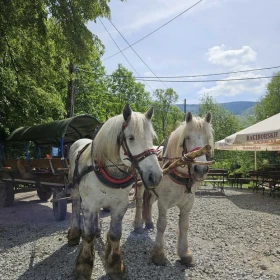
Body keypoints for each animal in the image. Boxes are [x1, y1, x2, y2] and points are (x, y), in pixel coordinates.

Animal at [68, 104, 163, 280]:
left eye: (152, 137)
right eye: (131, 138)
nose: (156, 176)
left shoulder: (120, 205)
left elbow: (115, 234)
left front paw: (115, 264)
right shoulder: (89, 204)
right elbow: (88, 235)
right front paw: (84, 265)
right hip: (75, 189)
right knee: (76, 207)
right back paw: (74, 233)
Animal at [132, 111, 213, 266]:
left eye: (208, 138)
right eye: (187, 137)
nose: (200, 169)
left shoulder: (188, 204)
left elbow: (184, 225)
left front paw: (185, 253)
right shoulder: (163, 202)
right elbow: (162, 224)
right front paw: (158, 254)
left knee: (148, 202)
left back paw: (148, 222)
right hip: (140, 185)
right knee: (139, 202)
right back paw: (138, 225)